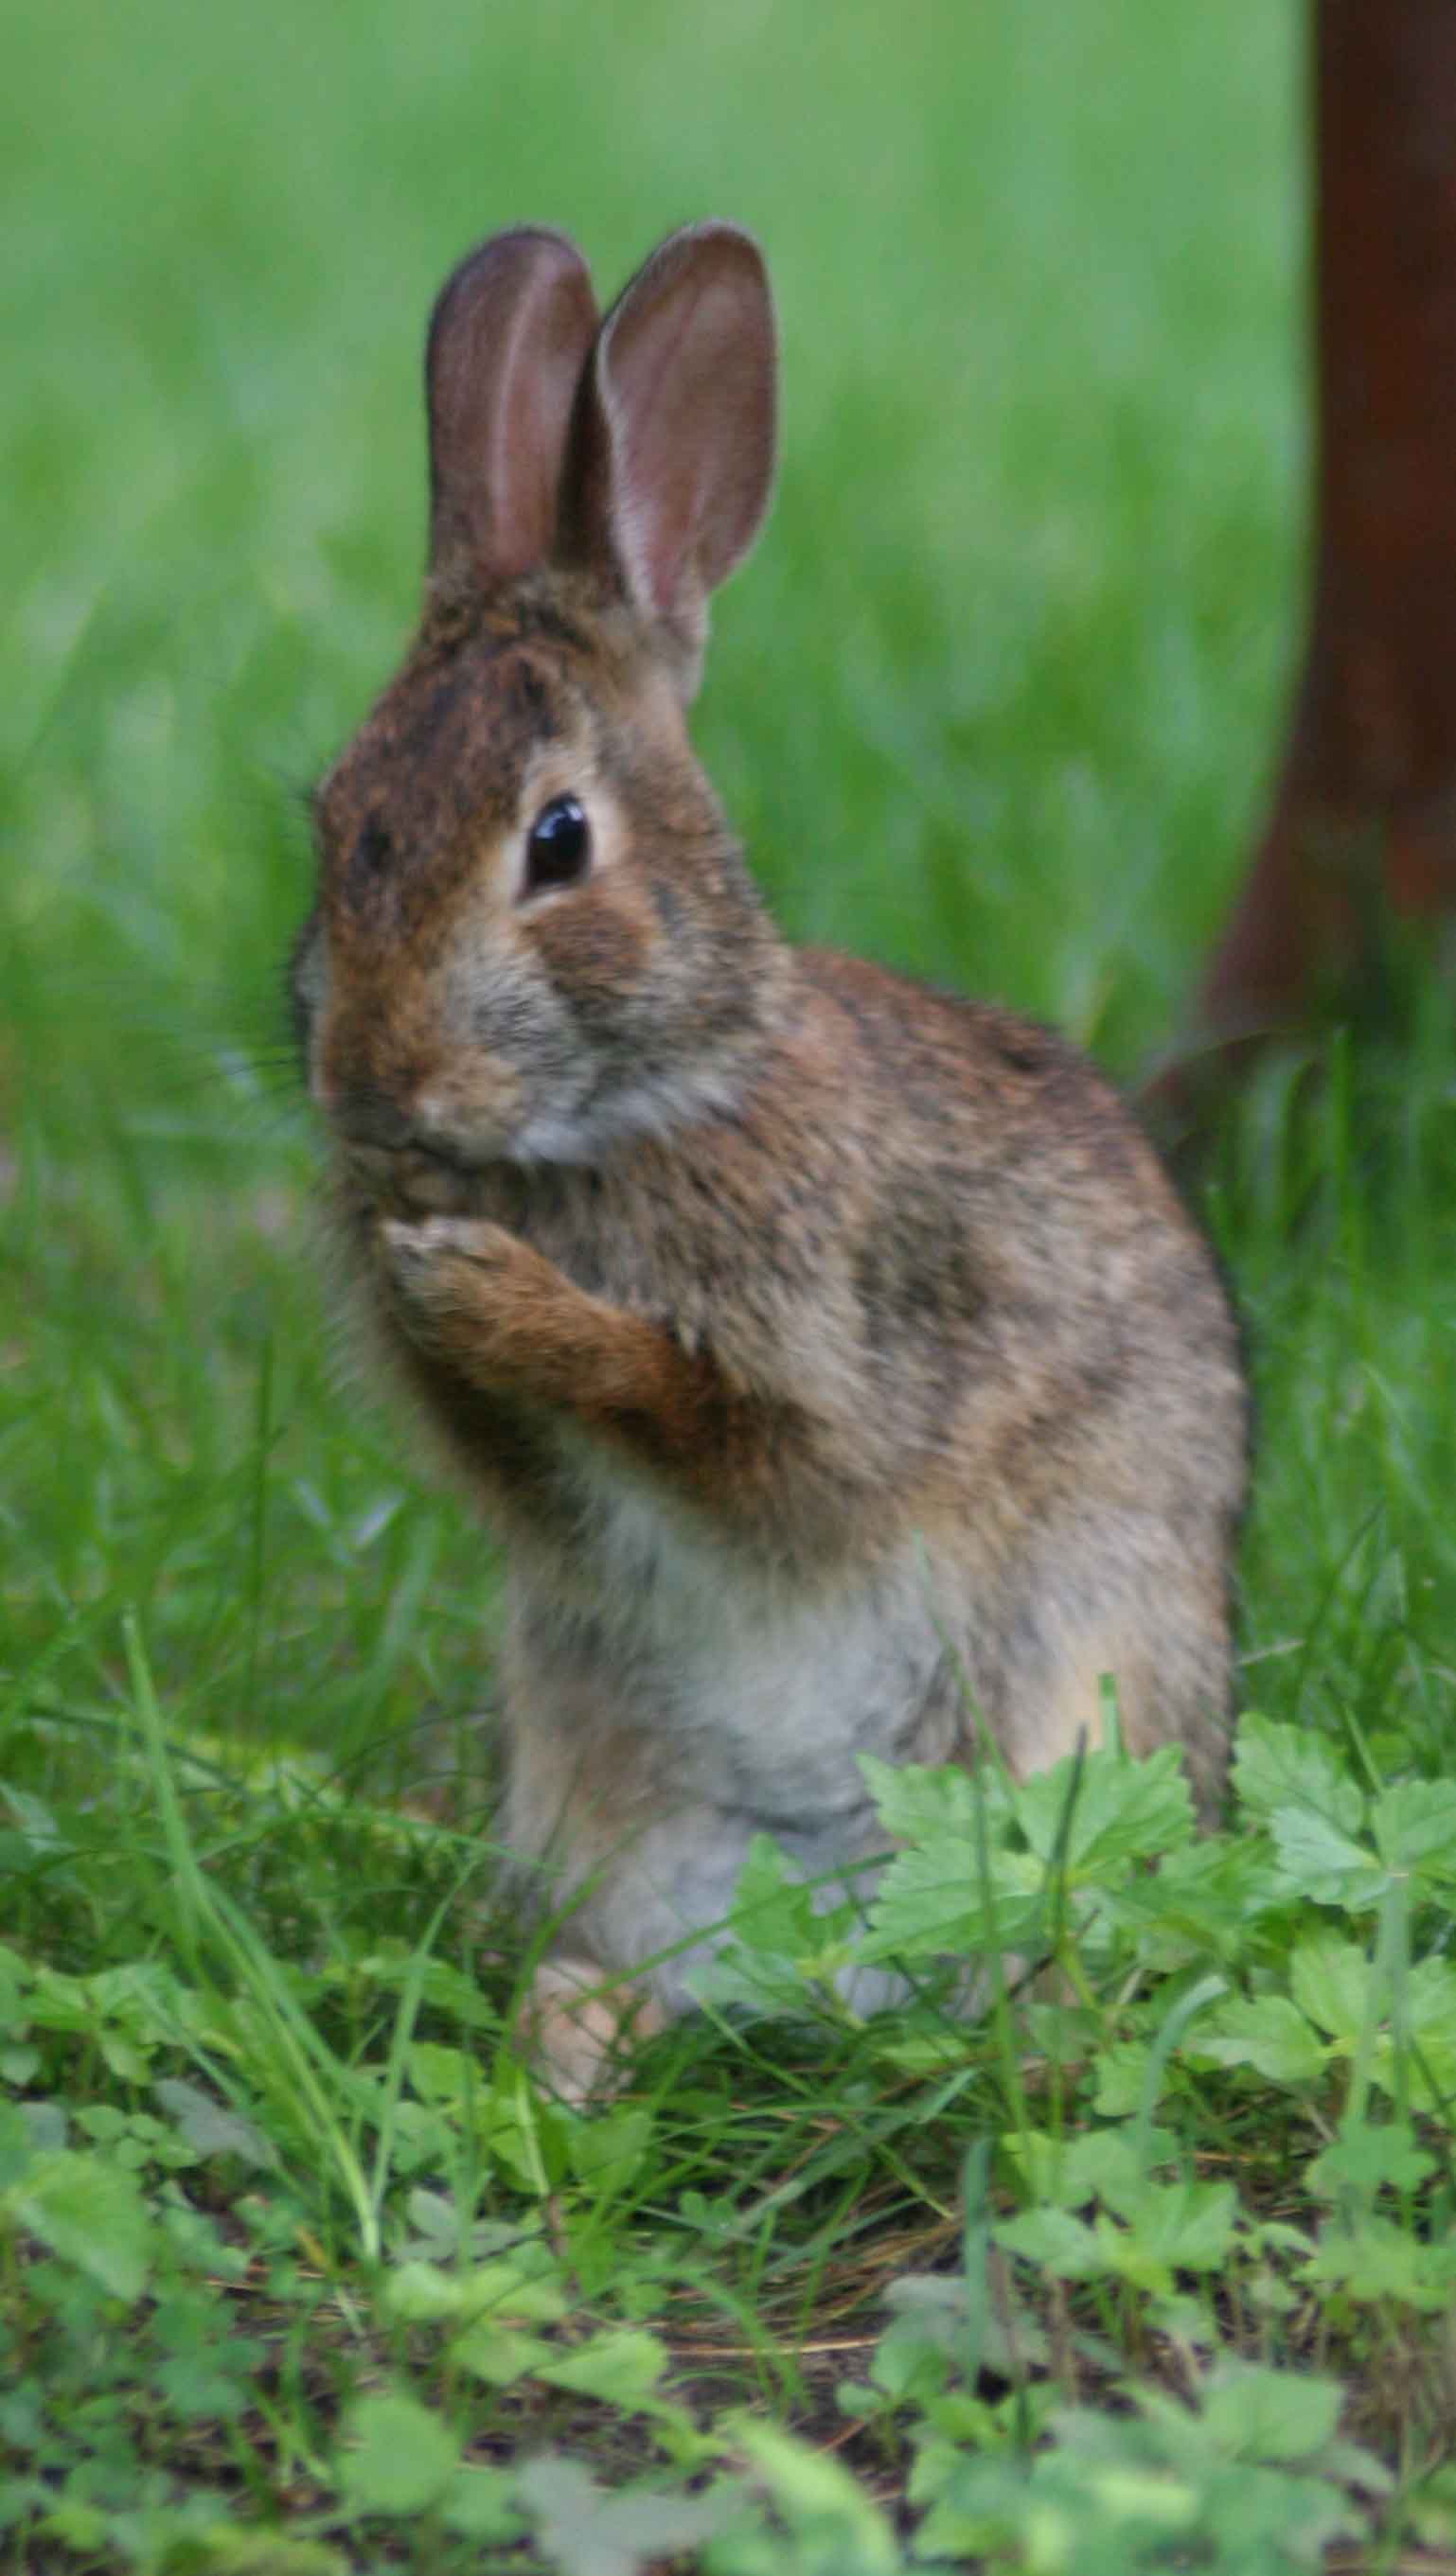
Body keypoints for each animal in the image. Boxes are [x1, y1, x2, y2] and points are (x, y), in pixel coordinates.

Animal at [294, 211, 1247, 2081]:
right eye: (336, 821)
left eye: (557, 841)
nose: (372, 1091)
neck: (643, 1101)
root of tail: (835, 1965)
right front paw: (412, 1245)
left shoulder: (845, 1349)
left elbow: (724, 1428)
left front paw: (484, 1286)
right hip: (601, 1782)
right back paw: (573, 2042)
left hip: (1076, 1690)